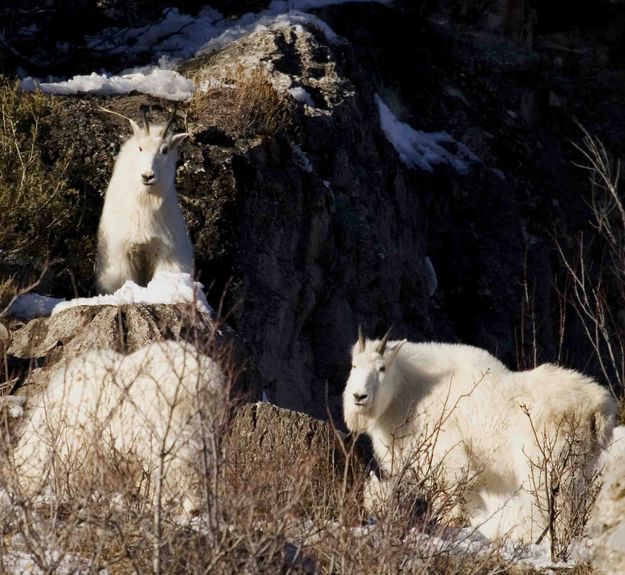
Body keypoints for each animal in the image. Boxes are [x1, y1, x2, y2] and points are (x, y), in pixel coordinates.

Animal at [94, 109, 193, 294]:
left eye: (165, 150)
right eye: (141, 148)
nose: (147, 176)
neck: (144, 203)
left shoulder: (165, 254)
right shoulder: (123, 253)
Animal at [344, 328, 616, 544]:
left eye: (382, 367)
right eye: (354, 365)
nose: (359, 397)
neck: (411, 392)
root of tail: (599, 407)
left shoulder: (448, 460)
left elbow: (450, 502)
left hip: (547, 464)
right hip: (582, 465)